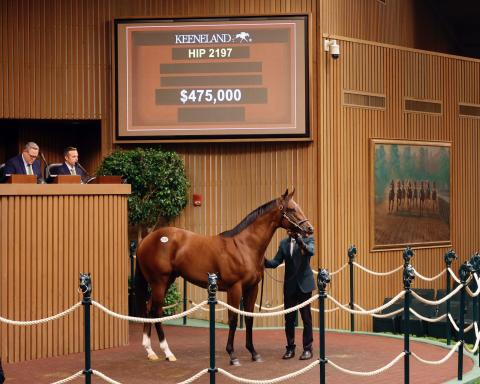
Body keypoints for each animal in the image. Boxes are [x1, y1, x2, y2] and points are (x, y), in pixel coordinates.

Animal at [135, 189, 316, 366]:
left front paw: (254, 353)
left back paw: (150, 351)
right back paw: (167, 352)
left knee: (149, 308)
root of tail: (145, 240)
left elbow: (249, 318)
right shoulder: (234, 288)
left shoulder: (252, 288)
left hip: (165, 281)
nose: (309, 229)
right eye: (291, 209)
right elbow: (233, 319)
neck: (244, 246)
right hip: (159, 282)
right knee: (157, 311)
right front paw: (232, 355)